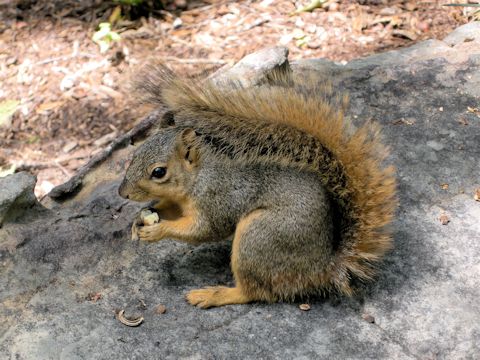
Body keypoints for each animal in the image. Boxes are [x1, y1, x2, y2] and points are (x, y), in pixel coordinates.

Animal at [118, 62, 396, 310]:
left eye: (159, 172)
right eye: (134, 154)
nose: (123, 193)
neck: (197, 177)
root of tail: (323, 268)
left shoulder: (217, 198)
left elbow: (204, 230)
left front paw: (158, 230)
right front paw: (140, 217)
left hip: (260, 236)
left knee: (255, 292)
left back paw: (215, 295)